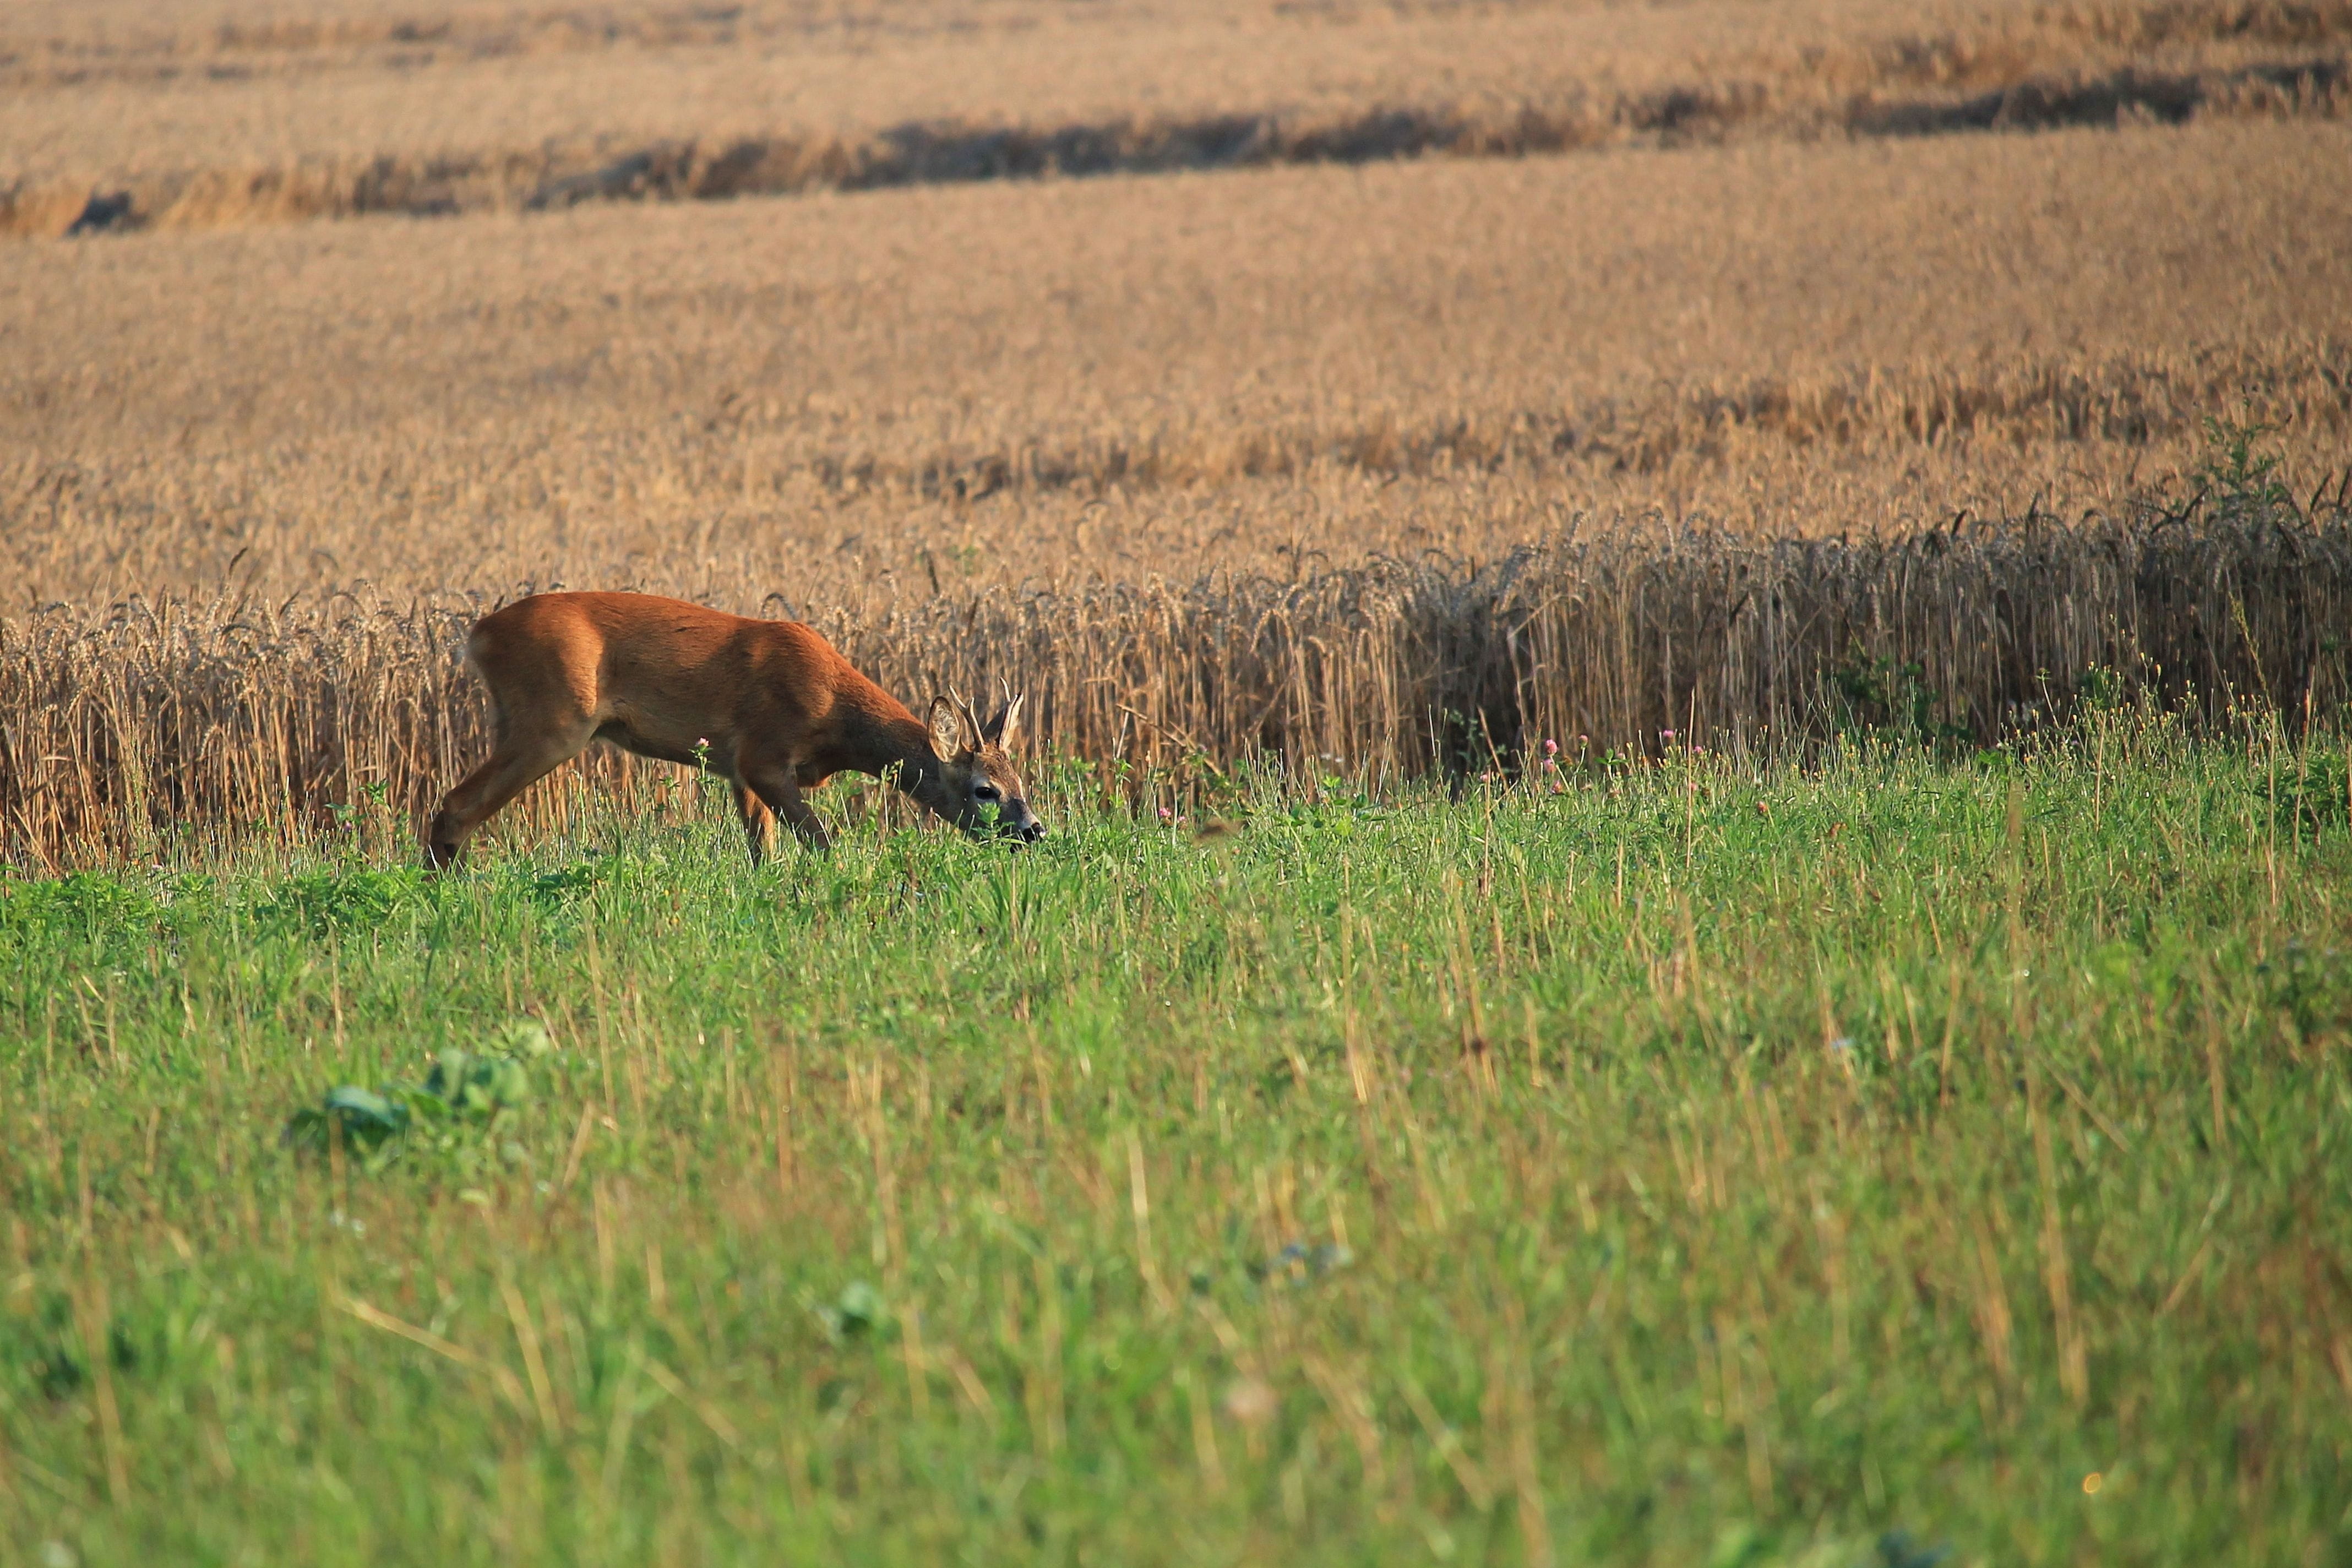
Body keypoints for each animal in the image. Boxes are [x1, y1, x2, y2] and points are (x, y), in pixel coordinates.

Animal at [422, 591, 1042, 868]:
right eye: (985, 790)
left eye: (1024, 783)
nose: (1034, 830)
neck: (836, 719)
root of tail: (477, 636)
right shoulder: (764, 754)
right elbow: (820, 842)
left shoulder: (737, 769)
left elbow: (760, 850)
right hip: (554, 718)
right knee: (456, 803)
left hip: (516, 717)